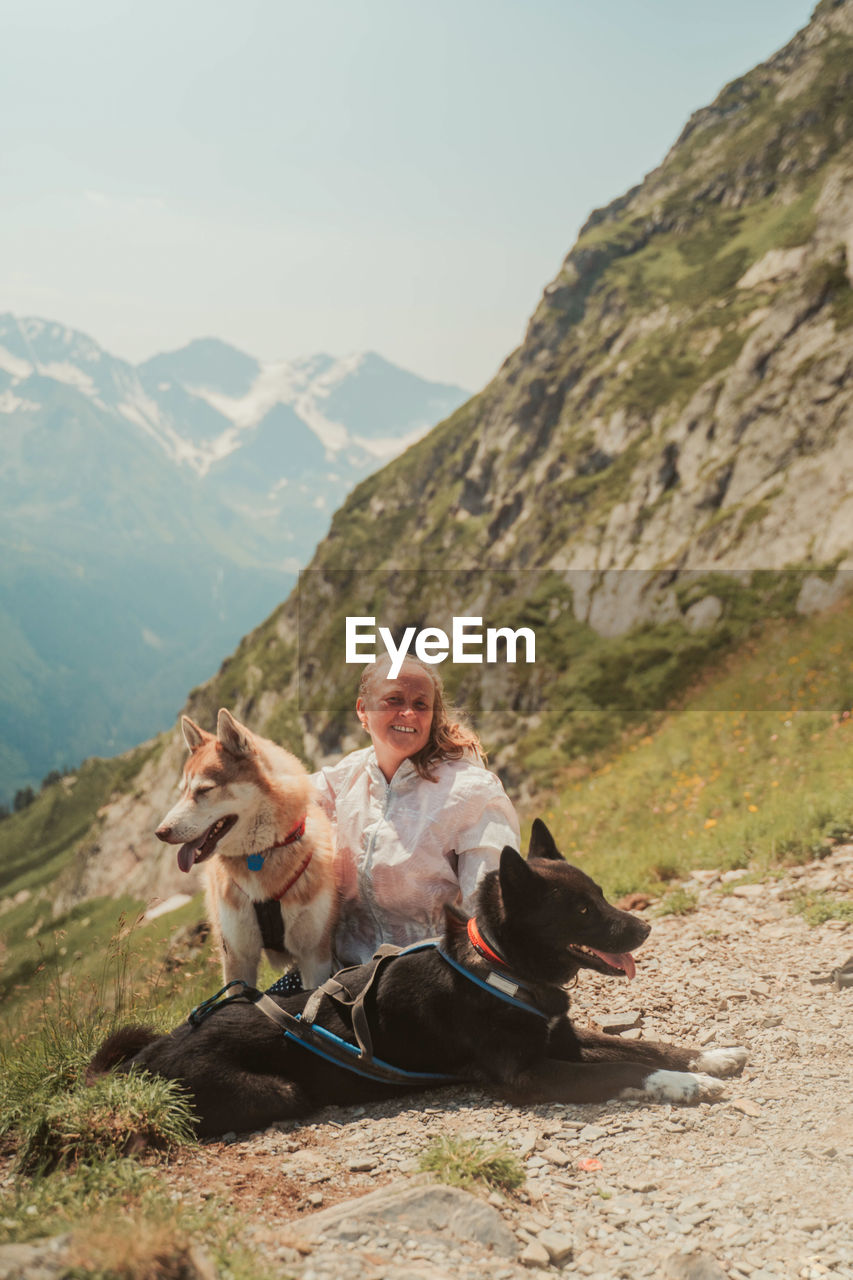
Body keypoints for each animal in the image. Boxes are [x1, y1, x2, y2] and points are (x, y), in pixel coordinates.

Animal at [91, 819, 742, 1131]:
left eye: (602, 895)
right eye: (581, 911)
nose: (644, 928)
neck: (500, 965)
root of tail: (143, 1058)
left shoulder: (562, 1037)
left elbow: (644, 1044)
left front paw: (707, 1056)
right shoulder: (530, 1074)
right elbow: (624, 1068)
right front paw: (685, 1085)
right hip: (280, 1090)